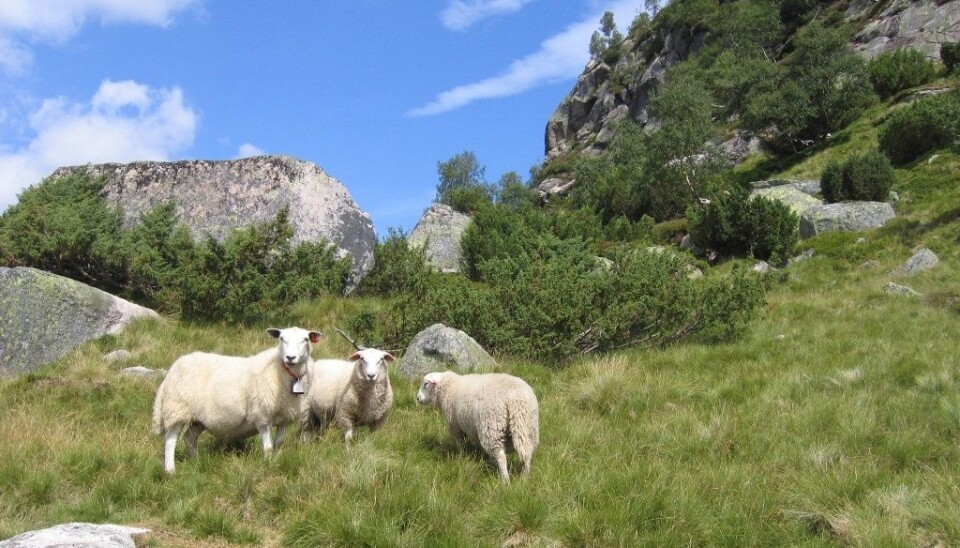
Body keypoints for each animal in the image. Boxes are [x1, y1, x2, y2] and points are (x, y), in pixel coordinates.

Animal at [151, 326, 321, 473]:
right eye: (281, 338)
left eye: (305, 339)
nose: (290, 357)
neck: (283, 372)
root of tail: (172, 369)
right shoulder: (263, 416)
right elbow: (268, 447)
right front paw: (267, 465)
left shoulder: (284, 417)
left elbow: (279, 443)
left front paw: (276, 461)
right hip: (177, 408)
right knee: (170, 440)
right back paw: (170, 470)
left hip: (199, 418)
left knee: (189, 438)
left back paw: (196, 461)